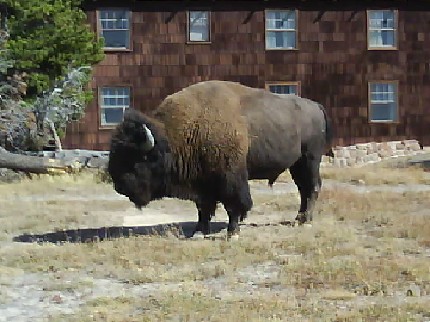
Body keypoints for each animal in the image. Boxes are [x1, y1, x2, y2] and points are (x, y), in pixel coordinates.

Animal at [107, 79, 332, 238]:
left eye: (136, 158)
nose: (119, 186)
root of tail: (316, 106)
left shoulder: (230, 178)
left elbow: (234, 204)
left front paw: (233, 232)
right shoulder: (203, 183)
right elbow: (204, 208)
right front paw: (199, 231)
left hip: (310, 159)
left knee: (312, 187)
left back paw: (305, 220)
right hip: (296, 165)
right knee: (303, 189)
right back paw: (299, 218)